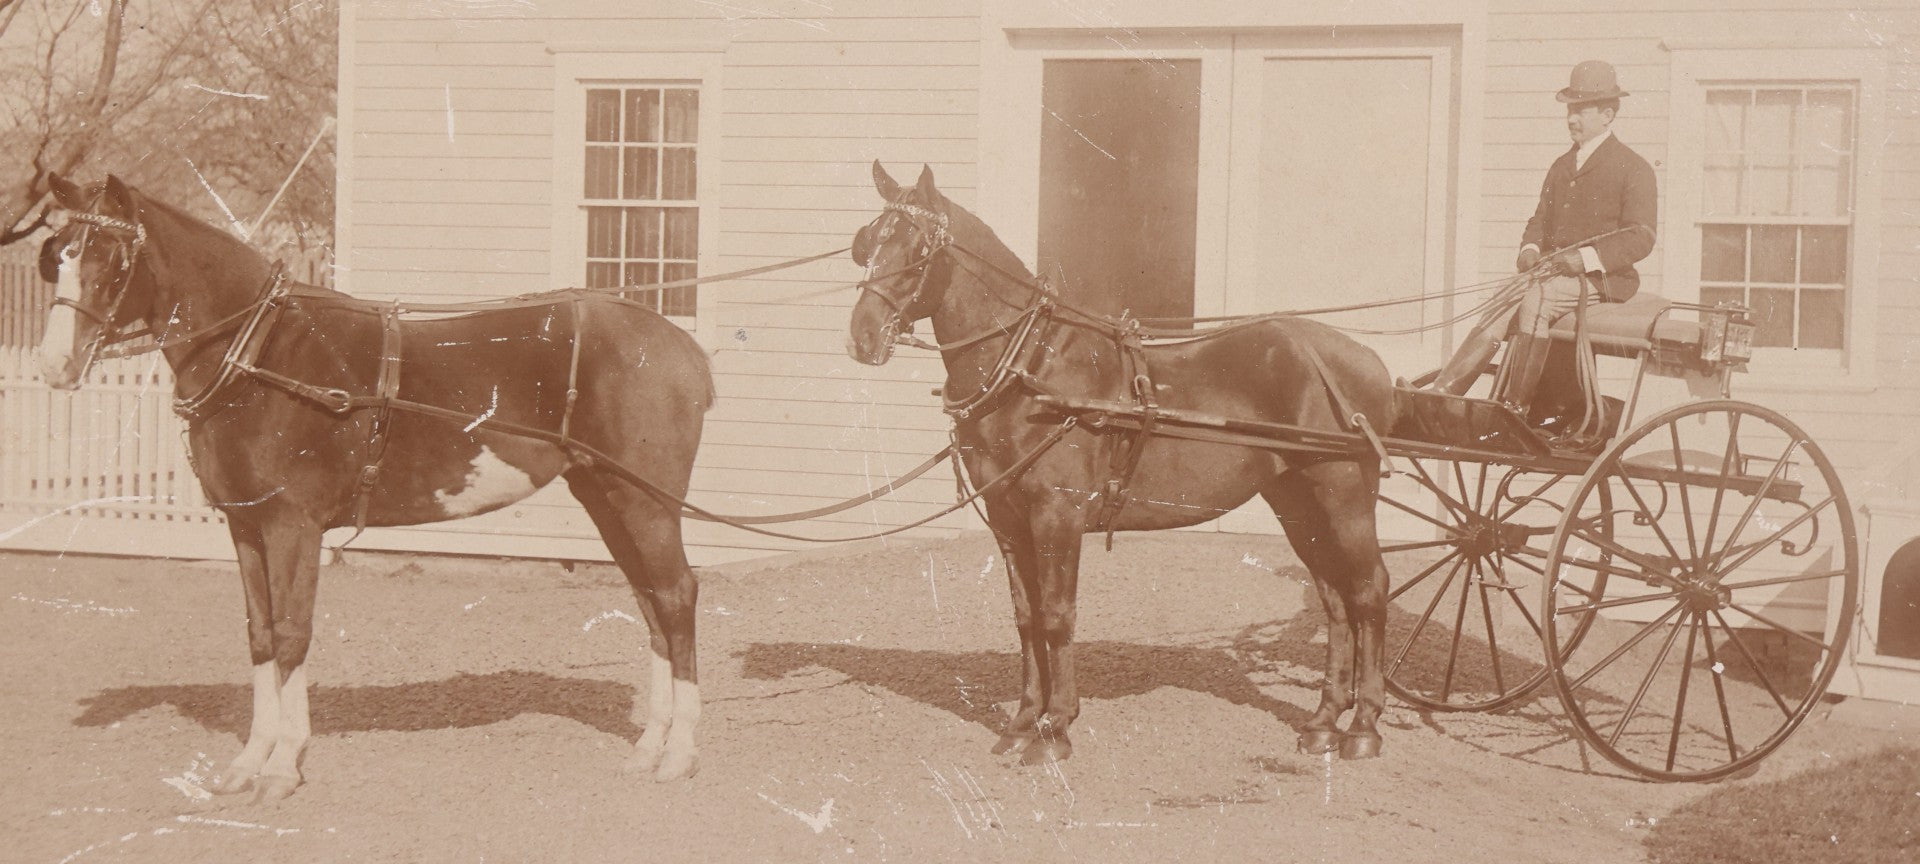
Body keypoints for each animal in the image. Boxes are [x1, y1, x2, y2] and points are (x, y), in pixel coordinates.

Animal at [35, 174, 712, 799]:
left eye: (109, 261)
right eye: (57, 255)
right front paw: (249, 761)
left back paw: (680, 753)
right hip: (606, 496)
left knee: (677, 596)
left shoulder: (293, 525)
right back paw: (650, 747)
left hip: (646, 502)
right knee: (651, 601)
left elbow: (292, 633)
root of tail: (681, 346)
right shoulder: (246, 525)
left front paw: (283, 766)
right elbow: (260, 634)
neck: (261, 354)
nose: (52, 366)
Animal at [846, 162, 1399, 764]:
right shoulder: (1008, 517)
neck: (1033, 369)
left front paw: (1057, 728)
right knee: (1335, 600)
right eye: (867, 242)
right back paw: (1323, 721)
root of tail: (1366, 360)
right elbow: (1026, 617)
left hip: (1344, 498)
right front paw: (1023, 722)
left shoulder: (1057, 516)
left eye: (918, 248)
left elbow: (1057, 616)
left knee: (1369, 590)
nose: (862, 336)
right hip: (1297, 502)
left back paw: (1364, 725)